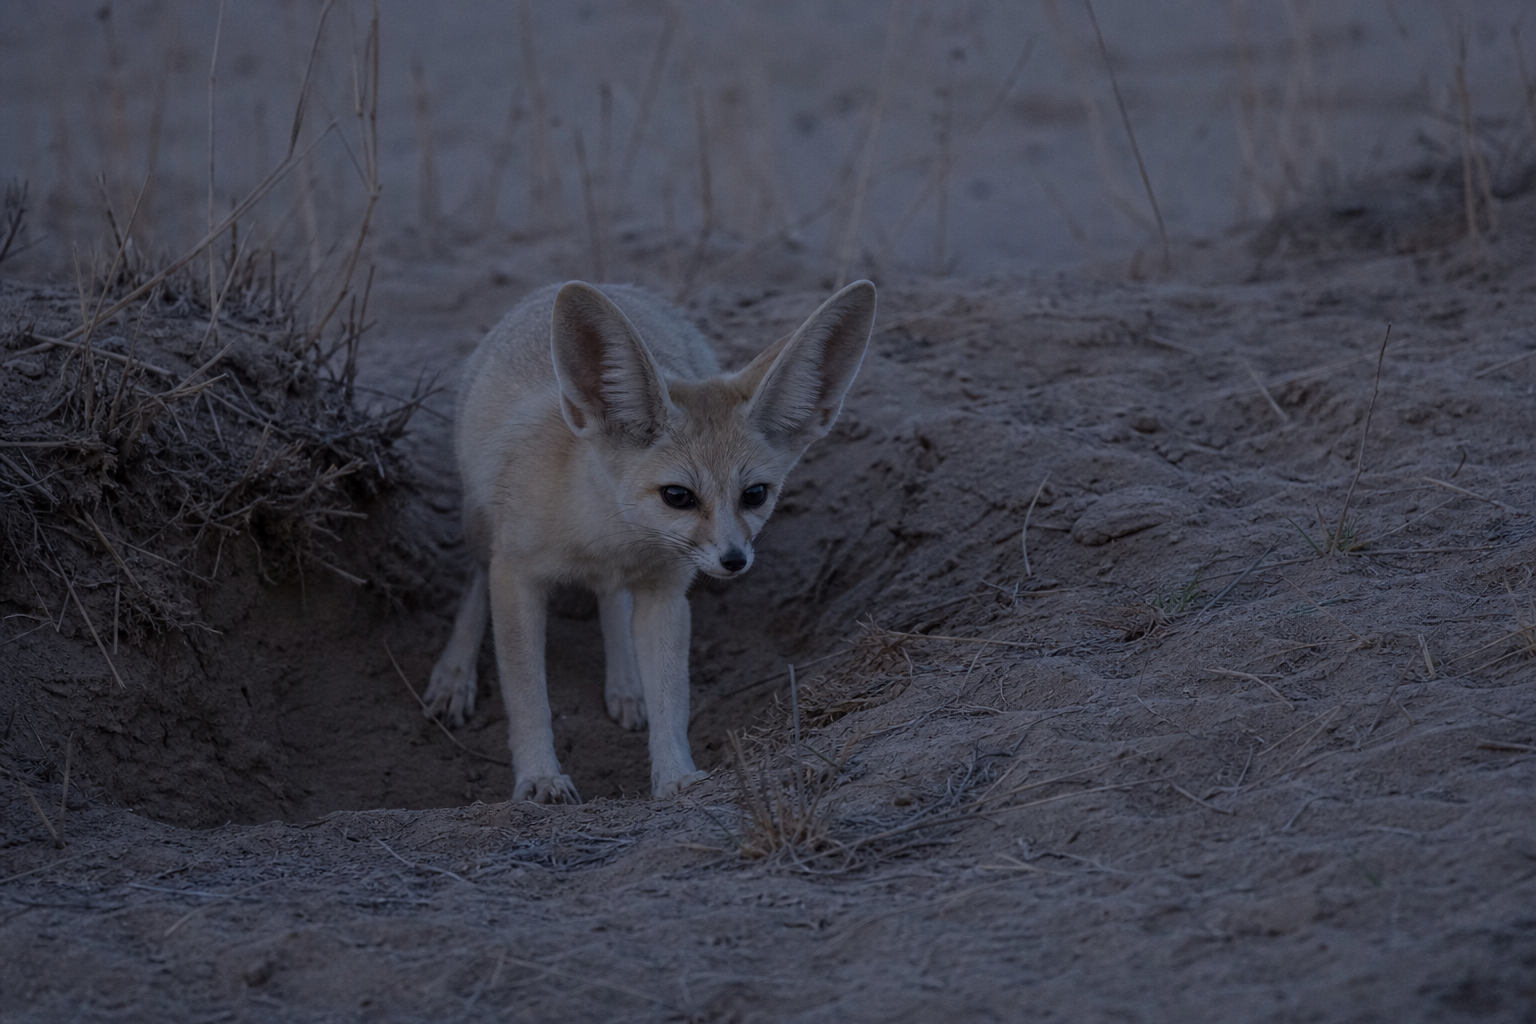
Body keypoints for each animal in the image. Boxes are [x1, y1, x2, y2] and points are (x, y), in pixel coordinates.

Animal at [422, 279, 878, 803]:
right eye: (677, 496)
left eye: (755, 494)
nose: (734, 560)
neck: (611, 539)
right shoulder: (516, 577)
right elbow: (526, 693)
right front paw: (539, 777)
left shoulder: (665, 592)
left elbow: (670, 697)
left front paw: (676, 774)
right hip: (479, 525)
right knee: (476, 581)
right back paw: (454, 675)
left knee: (611, 603)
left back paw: (626, 682)